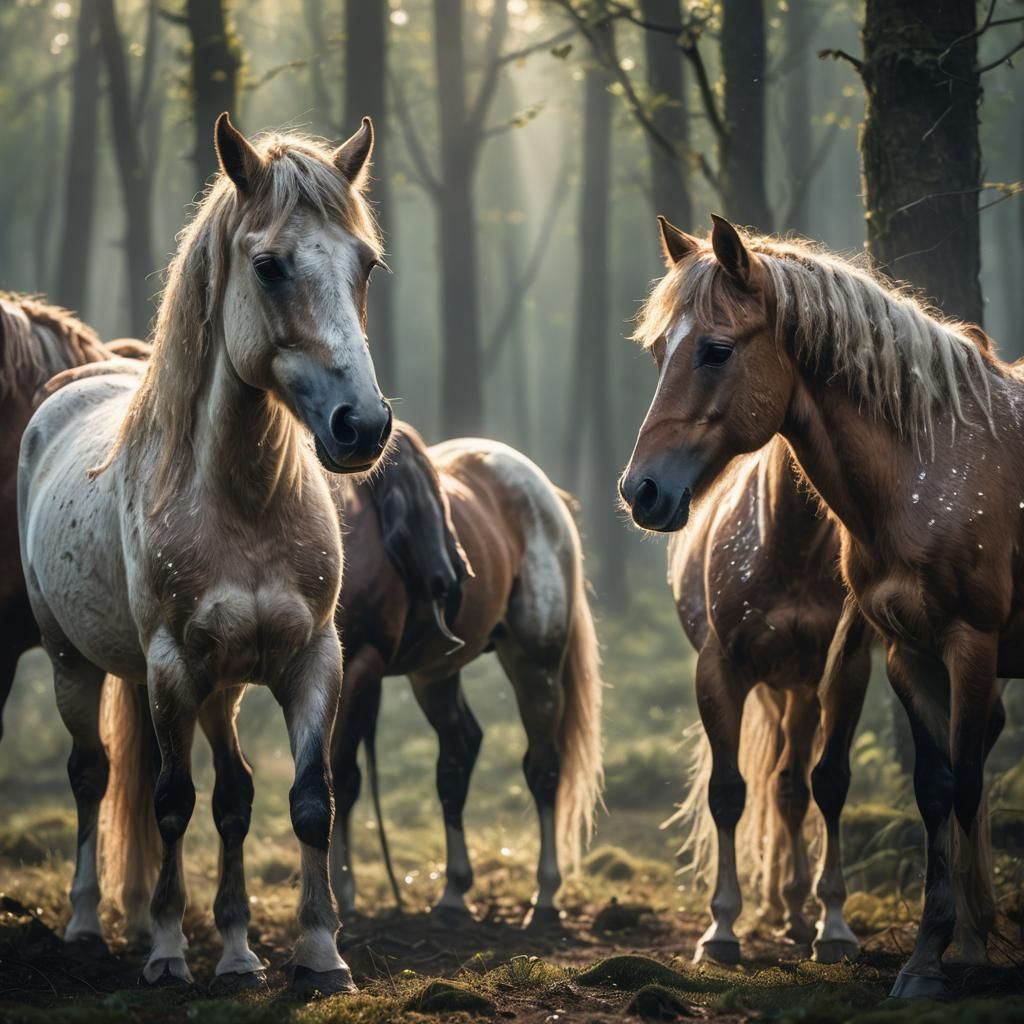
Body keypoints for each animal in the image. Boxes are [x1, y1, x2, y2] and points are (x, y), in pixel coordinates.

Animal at [17, 113, 392, 996]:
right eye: (269, 265)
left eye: (365, 264)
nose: (362, 427)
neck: (243, 503)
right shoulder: (171, 667)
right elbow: (169, 802)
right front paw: (163, 952)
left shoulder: (311, 659)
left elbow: (305, 800)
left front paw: (316, 955)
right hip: (74, 663)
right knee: (92, 778)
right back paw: (88, 925)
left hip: (221, 687)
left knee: (234, 793)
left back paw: (234, 949)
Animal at [324, 422, 604, 927]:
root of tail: (544, 493)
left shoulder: (363, 667)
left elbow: (343, 776)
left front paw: (343, 894)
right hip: (435, 676)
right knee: (457, 756)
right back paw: (454, 892)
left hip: (535, 666)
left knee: (543, 768)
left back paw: (545, 896)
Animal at [665, 437, 871, 965]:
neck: (789, 541)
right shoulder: (721, 672)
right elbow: (727, 793)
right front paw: (720, 929)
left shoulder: (843, 671)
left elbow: (828, 784)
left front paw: (832, 926)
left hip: (800, 691)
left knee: (790, 787)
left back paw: (794, 909)